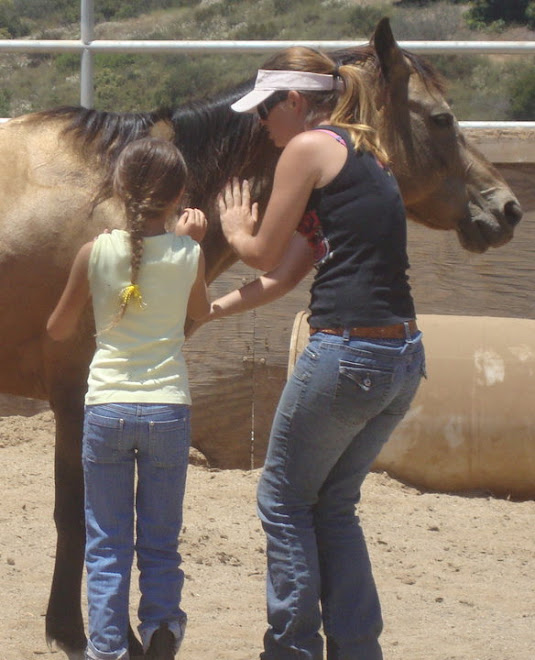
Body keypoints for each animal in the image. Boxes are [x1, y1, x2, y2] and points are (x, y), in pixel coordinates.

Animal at [0, 18, 522, 659]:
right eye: (442, 119)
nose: (508, 208)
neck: (117, 194)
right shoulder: (79, 395)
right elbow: (81, 514)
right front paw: (77, 632)